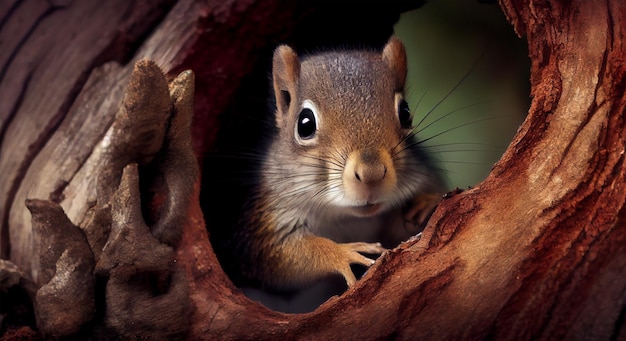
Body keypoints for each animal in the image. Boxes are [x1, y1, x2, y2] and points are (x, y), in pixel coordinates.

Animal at [217, 36, 442, 298]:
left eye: (405, 112)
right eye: (305, 124)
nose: (372, 174)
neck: (345, 216)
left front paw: (426, 201)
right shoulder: (266, 218)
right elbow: (284, 255)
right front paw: (343, 253)